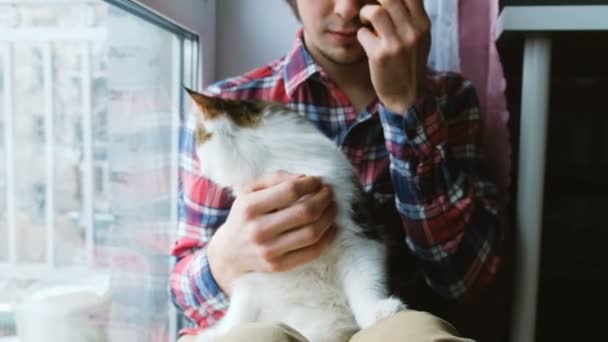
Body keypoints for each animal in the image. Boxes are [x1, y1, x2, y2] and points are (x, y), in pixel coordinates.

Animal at [186, 89, 408, 342]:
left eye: (200, 142)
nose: (202, 170)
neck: (271, 163)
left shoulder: (358, 235)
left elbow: (365, 283)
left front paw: (378, 313)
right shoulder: (251, 277)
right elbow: (235, 318)